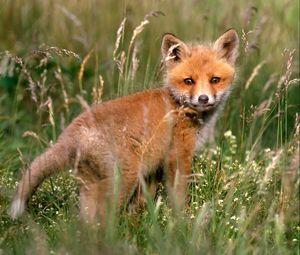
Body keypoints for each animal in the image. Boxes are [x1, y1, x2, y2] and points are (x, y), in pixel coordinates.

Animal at [9, 28, 239, 222]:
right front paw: (183, 222)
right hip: (124, 179)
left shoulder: (153, 168)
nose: (203, 99)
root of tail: (69, 134)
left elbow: (142, 204)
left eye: (215, 79)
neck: (178, 106)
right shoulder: (178, 156)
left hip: (92, 186)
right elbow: (179, 197)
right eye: (189, 81)